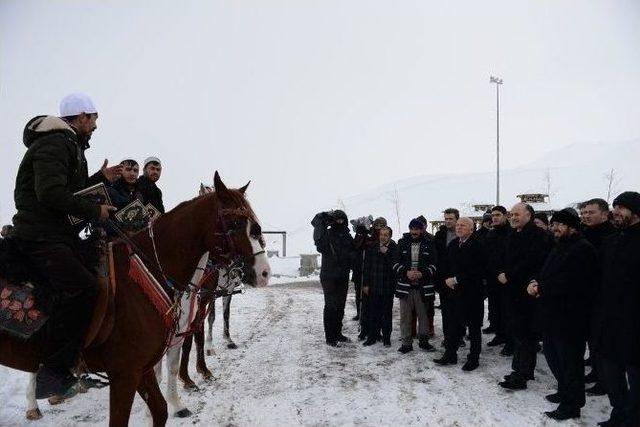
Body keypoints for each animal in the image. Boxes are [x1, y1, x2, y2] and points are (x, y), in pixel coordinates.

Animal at [0, 172, 264, 426]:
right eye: (235, 223)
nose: (262, 272)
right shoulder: (127, 370)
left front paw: (180, 398)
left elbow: (172, 368)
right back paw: (37, 402)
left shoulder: (172, 335)